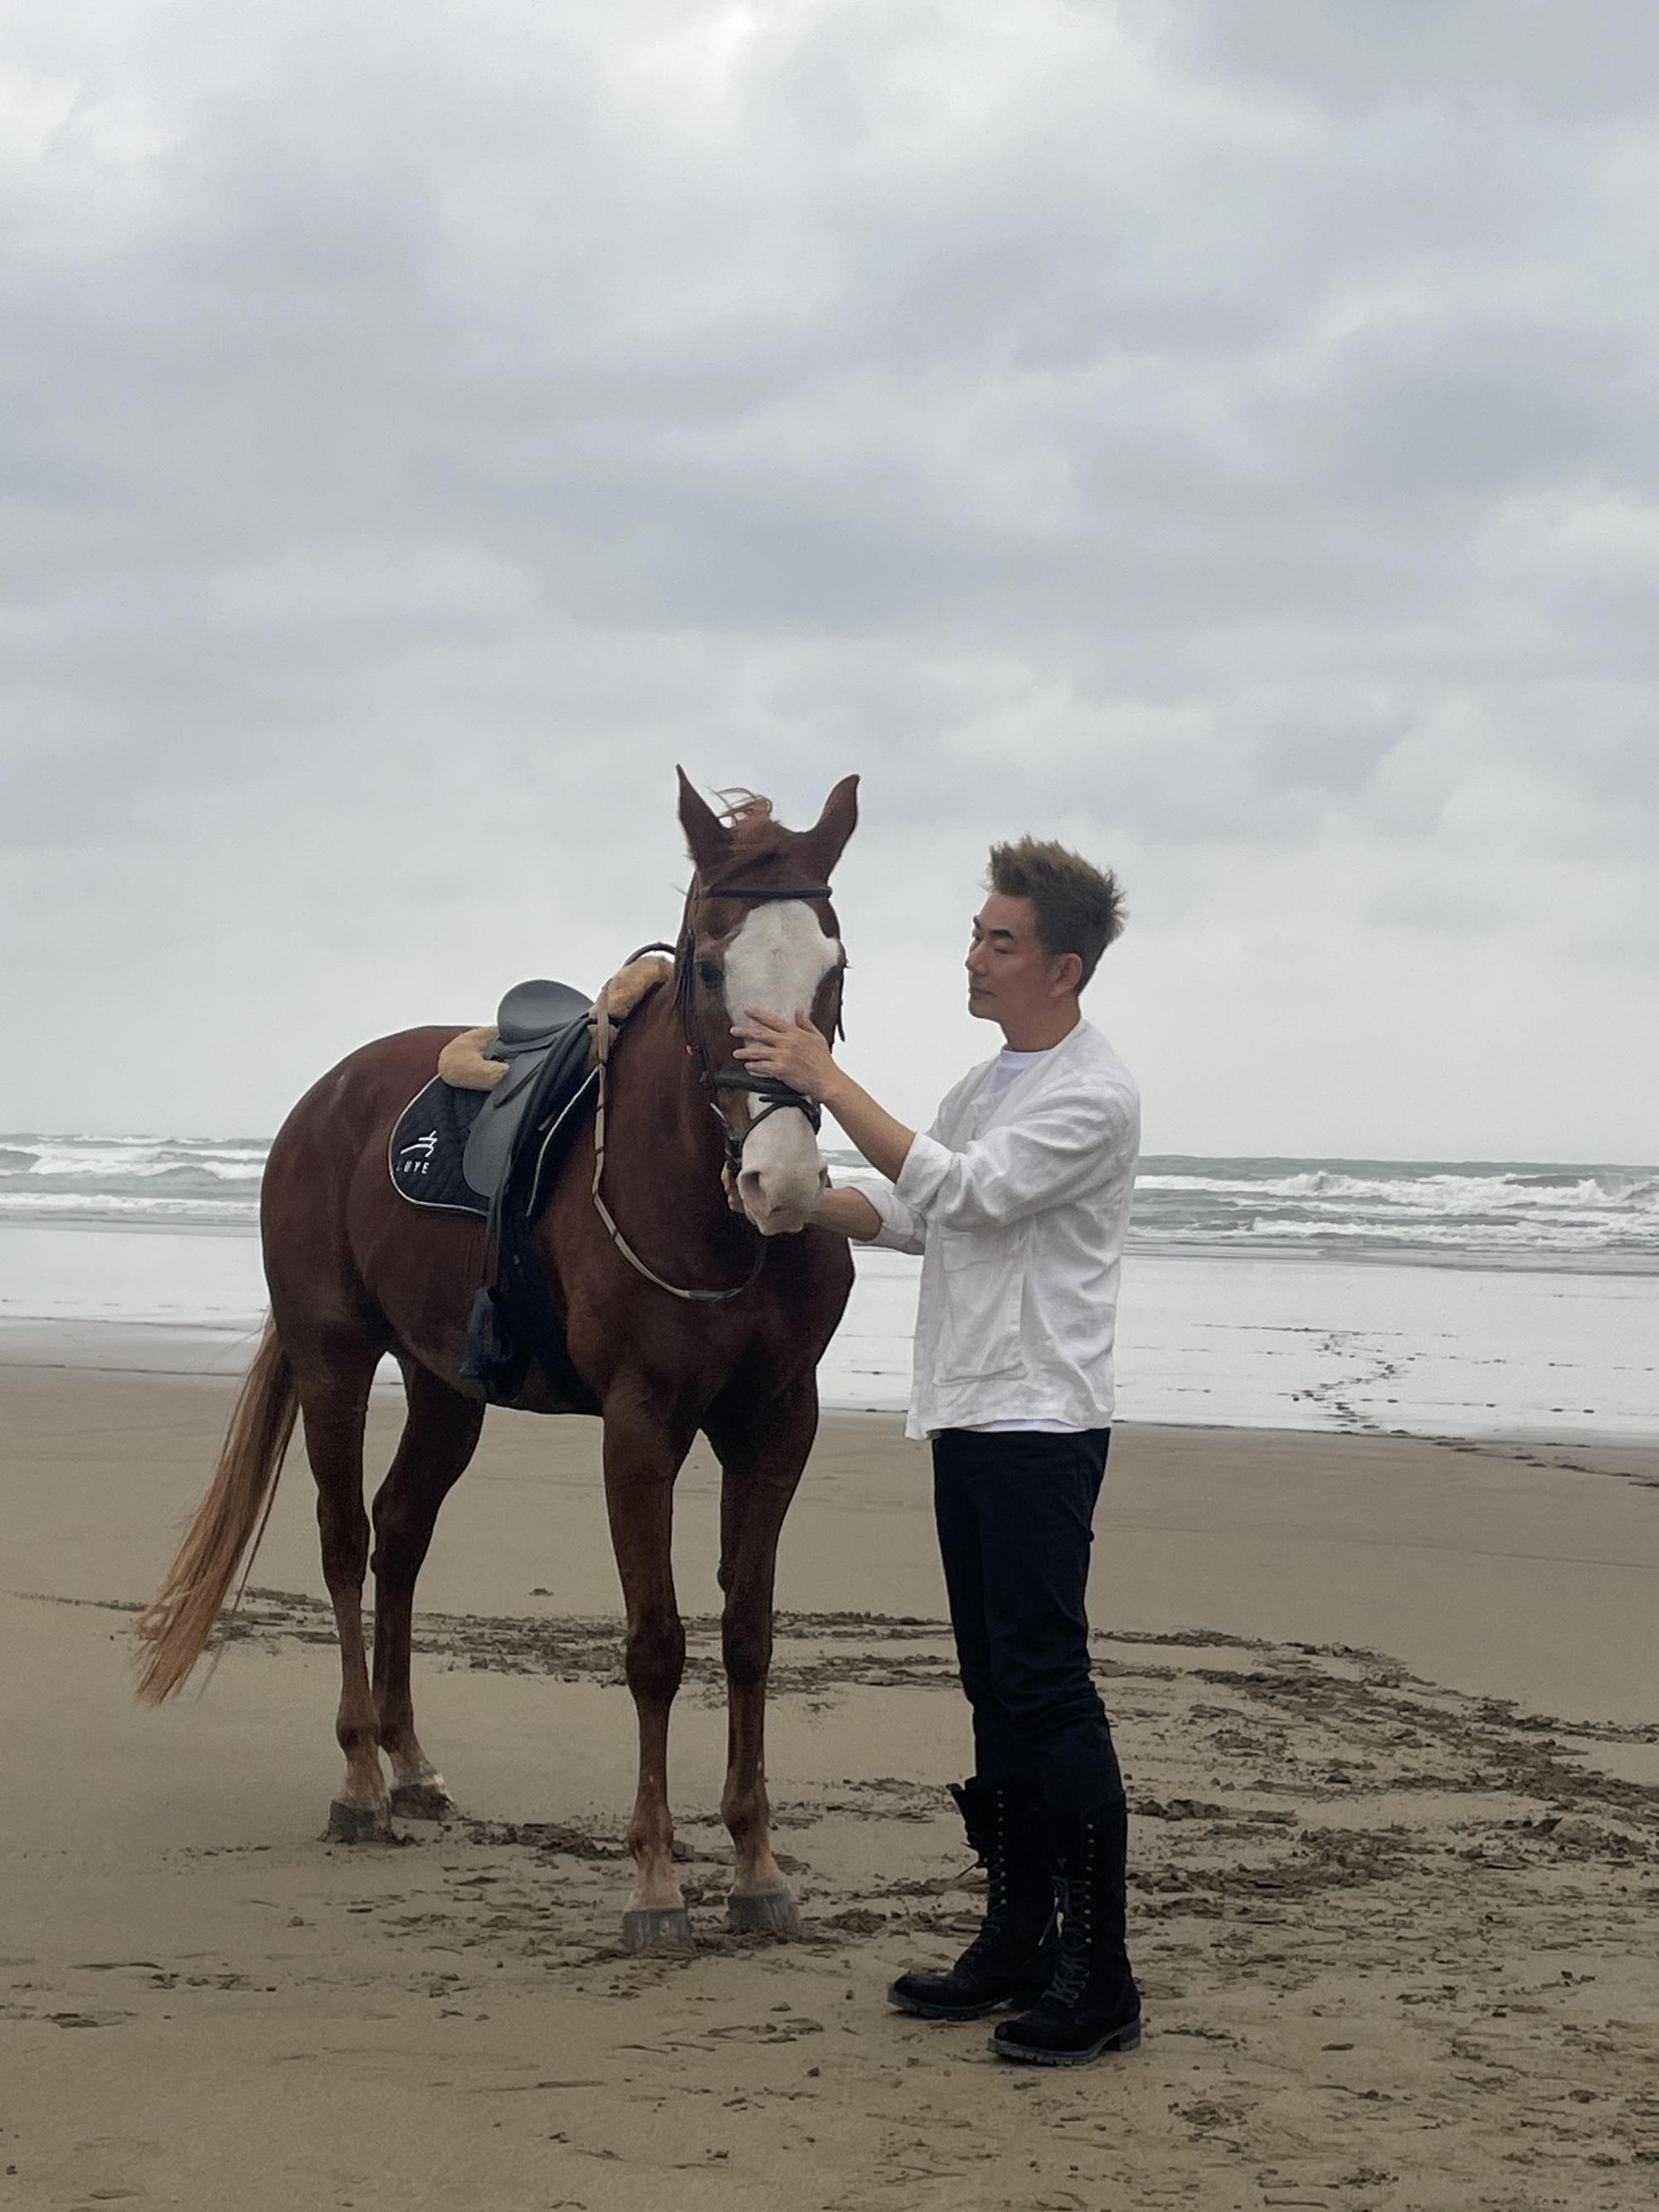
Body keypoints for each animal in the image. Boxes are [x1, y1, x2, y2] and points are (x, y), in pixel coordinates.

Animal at [136, 770, 859, 1949]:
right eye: (709, 966)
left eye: (831, 968)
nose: (782, 1180)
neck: (707, 1210)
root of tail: (323, 1099)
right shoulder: (640, 1427)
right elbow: (656, 1644)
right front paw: (655, 1882)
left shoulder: (774, 1424)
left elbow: (748, 1637)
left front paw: (755, 1867)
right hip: (335, 1359)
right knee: (344, 1543)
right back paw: (361, 1780)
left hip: (446, 1390)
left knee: (399, 1535)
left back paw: (410, 1761)